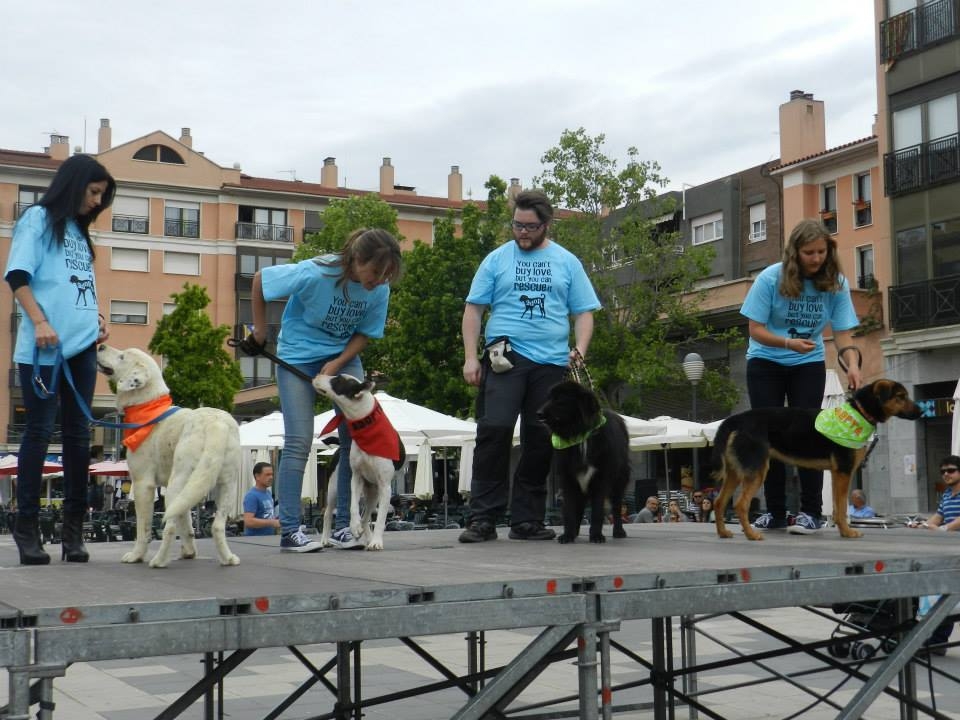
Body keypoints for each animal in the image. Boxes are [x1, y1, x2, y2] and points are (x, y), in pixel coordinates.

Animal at [96, 344, 240, 568]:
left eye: (122, 357)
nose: (100, 345)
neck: (148, 405)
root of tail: (215, 423)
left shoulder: (143, 484)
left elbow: (143, 528)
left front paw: (136, 555)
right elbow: (186, 523)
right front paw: (189, 552)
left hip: (176, 483)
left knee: (169, 527)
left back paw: (158, 560)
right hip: (224, 485)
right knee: (216, 525)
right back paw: (228, 558)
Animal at [314, 374, 406, 548]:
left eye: (337, 380)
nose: (317, 375)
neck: (366, 429)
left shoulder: (385, 487)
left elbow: (380, 518)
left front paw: (376, 542)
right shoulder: (356, 478)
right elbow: (353, 507)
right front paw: (354, 526)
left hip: (374, 493)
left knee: (366, 517)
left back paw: (368, 539)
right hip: (334, 488)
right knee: (328, 513)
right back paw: (325, 539)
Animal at [536, 380, 632, 544]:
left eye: (560, 399)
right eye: (549, 397)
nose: (539, 413)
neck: (579, 435)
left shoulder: (601, 479)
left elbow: (597, 511)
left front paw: (596, 536)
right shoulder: (568, 478)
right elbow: (569, 510)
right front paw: (567, 535)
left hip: (619, 479)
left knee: (617, 506)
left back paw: (619, 531)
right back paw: (574, 532)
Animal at [712, 382, 924, 540]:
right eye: (901, 396)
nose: (921, 412)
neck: (860, 412)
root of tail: (736, 419)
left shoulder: (837, 474)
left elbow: (838, 508)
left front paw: (842, 530)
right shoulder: (844, 472)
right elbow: (841, 508)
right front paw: (848, 532)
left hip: (735, 473)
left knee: (719, 502)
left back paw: (723, 532)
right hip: (756, 471)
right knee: (740, 504)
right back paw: (751, 535)